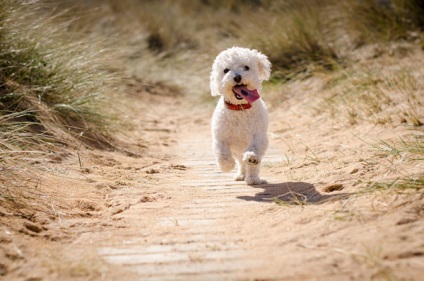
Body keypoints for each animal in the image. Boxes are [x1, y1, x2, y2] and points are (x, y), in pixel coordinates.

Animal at [210, 47, 272, 185]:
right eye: (226, 70)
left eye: (246, 67)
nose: (237, 77)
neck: (240, 108)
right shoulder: (219, 137)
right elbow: (222, 153)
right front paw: (227, 165)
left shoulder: (259, 136)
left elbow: (255, 149)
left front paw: (252, 157)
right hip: (236, 151)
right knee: (240, 162)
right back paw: (241, 175)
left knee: (250, 166)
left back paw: (253, 179)